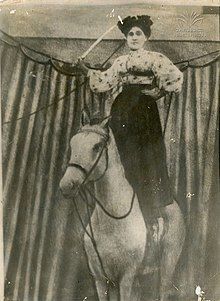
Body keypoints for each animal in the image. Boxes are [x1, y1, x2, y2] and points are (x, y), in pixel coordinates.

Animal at [59, 113, 185, 300]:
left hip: (167, 265)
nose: (67, 185)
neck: (112, 222)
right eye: (73, 143)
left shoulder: (126, 278)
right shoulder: (101, 279)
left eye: (96, 146)